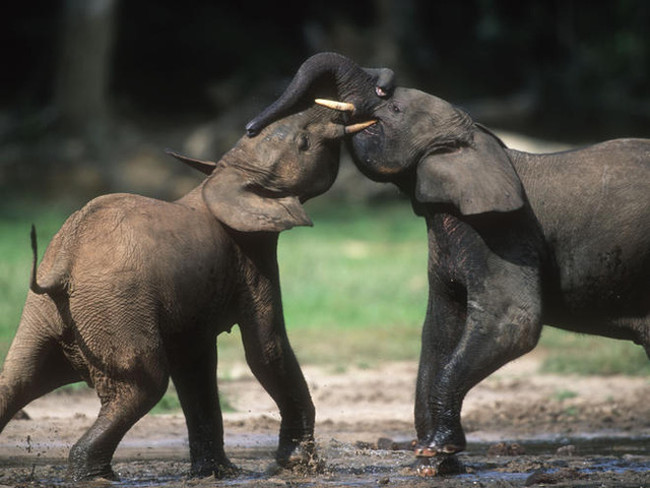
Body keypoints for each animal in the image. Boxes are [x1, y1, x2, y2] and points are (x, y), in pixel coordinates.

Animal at [0, 102, 377, 481]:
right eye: (304, 142)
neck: (221, 178)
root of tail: (65, 261)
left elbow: (195, 366)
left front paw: (218, 474)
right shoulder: (251, 259)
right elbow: (266, 351)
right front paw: (299, 465)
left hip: (47, 311)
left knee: (17, 379)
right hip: (113, 305)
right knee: (143, 386)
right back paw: (97, 477)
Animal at [246, 52, 650, 475]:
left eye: (395, 109)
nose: (250, 128)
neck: (477, 144)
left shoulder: (503, 230)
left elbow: (514, 323)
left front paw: (435, 451)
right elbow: (439, 330)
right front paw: (433, 464)